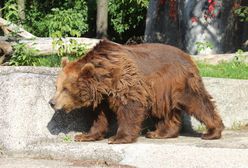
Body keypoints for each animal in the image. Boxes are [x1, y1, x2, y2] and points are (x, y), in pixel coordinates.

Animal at [49, 39, 224, 143]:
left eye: (65, 88)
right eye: (56, 87)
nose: (52, 102)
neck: (106, 78)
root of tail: (187, 56)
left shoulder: (125, 81)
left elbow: (130, 107)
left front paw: (118, 137)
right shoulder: (103, 96)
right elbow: (99, 116)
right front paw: (84, 135)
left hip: (179, 81)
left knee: (198, 101)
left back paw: (212, 131)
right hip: (163, 92)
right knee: (166, 111)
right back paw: (159, 132)